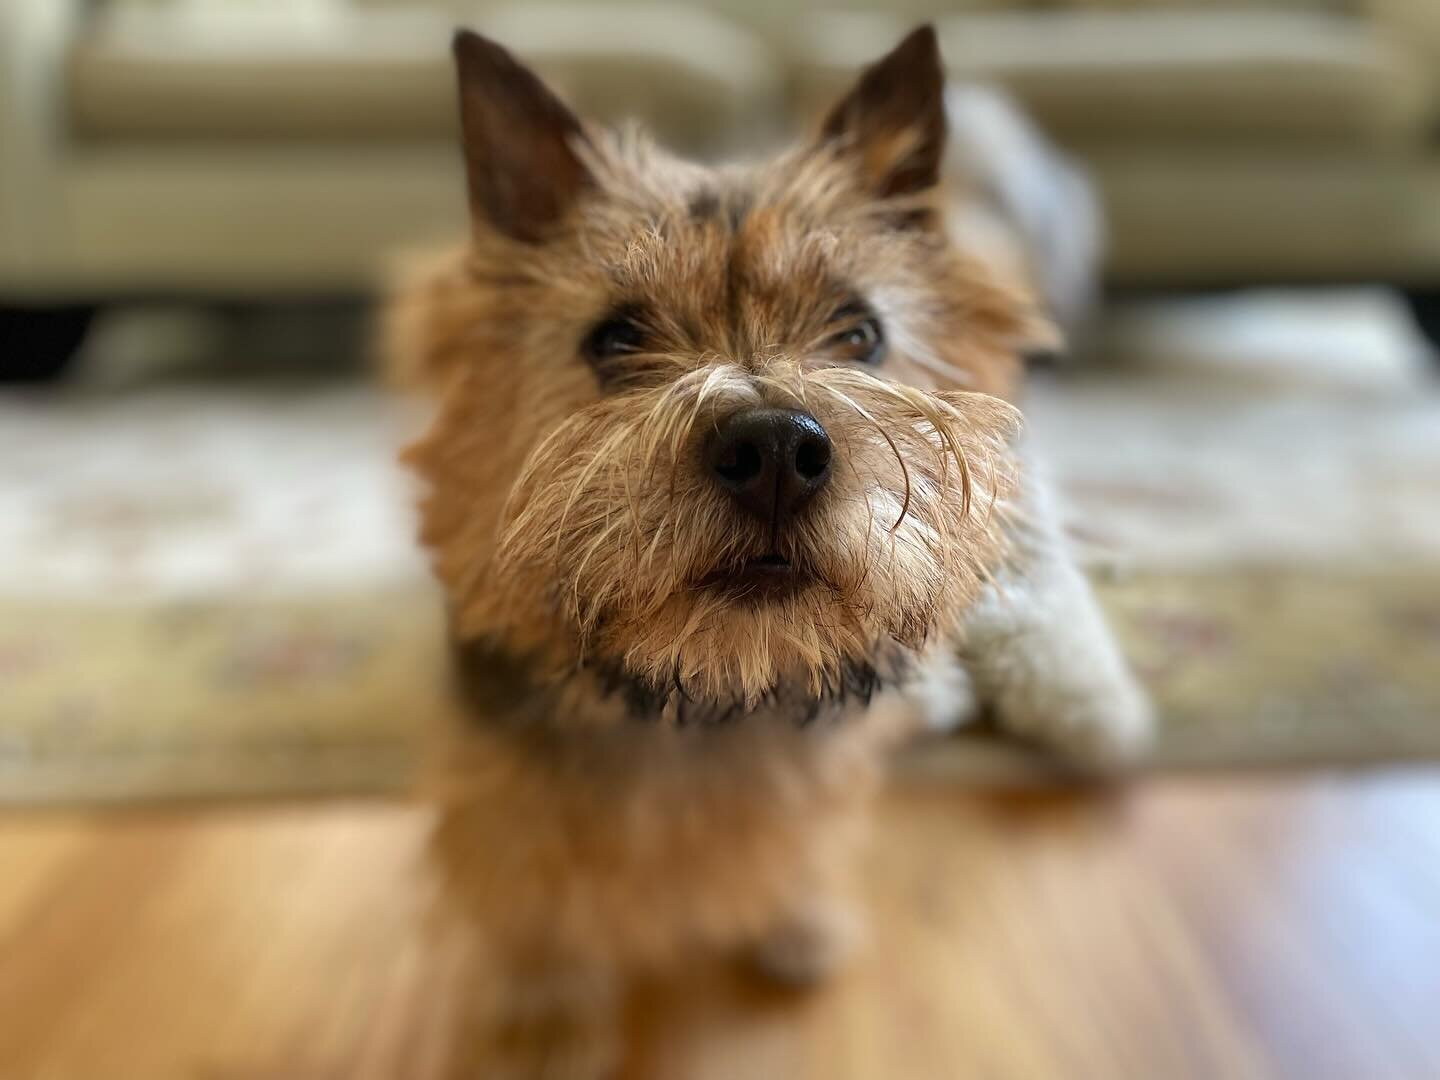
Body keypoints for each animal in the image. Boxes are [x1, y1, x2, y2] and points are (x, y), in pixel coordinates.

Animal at [388, 23, 1152, 1077]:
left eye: (860, 331)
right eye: (614, 338)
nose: (777, 450)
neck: (712, 690)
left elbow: (803, 833)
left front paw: (796, 921)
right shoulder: (502, 777)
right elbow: (532, 874)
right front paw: (549, 1008)